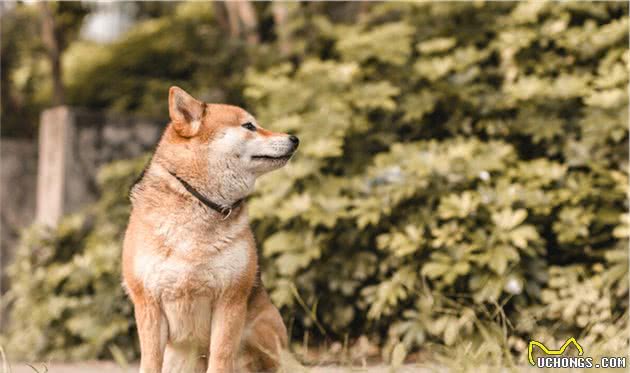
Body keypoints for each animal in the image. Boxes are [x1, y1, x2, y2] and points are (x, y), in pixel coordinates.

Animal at [124, 85, 300, 370]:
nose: (294, 138)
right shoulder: (148, 302)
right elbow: (150, 362)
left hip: (260, 331)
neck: (199, 202)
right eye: (249, 126)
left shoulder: (231, 300)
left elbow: (220, 358)